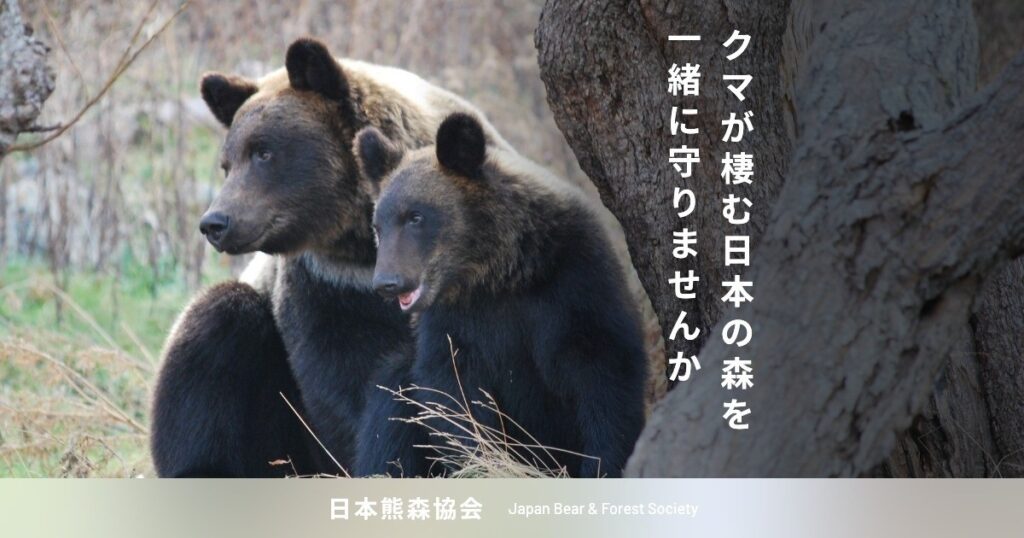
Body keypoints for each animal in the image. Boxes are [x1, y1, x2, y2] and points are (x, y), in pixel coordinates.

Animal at [149, 37, 511, 477]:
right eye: (227, 164)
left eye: (263, 153)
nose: (216, 222)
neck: (361, 247)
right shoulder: (325, 287)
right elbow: (340, 384)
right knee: (212, 334)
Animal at [351, 113, 647, 478]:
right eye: (378, 225)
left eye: (416, 216)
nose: (387, 282)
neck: (500, 271)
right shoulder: (452, 322)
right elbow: (452, 395)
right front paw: (484, 460)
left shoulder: (574, 284)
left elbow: (604, 374)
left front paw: (603, 462)